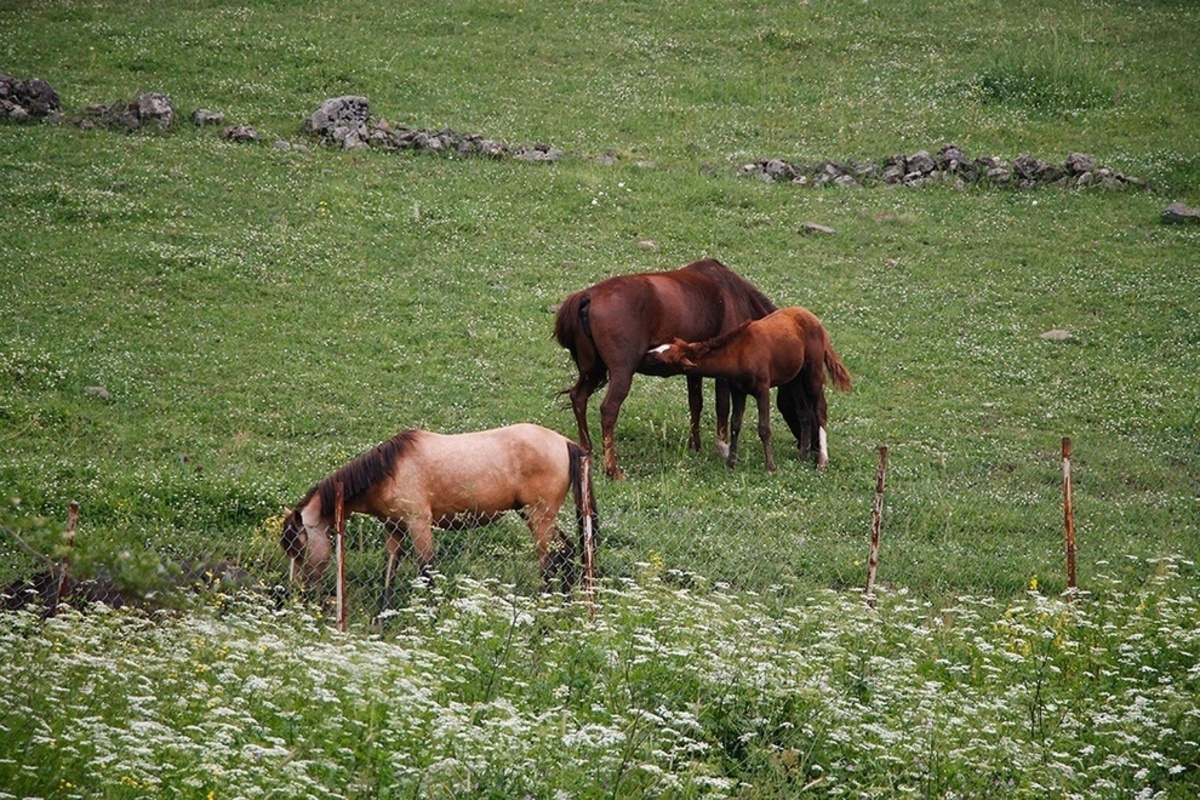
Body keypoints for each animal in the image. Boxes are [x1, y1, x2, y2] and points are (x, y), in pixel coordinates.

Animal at [280, 422, 600, 609]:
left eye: (299, 549)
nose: (298, 594)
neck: (389, 471)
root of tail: (566, 443)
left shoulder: (419, 525)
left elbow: (426, 572)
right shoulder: (394, 529)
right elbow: (388, 574)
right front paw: (381, 621)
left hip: (538, 517)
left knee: (550, 561)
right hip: (534, 515)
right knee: (566, 552)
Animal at [554, 260, 806, 479]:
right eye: (797, 401)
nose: (805, 445)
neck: (734, 294)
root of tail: (588, 296)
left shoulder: (694, 369)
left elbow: (696, 403)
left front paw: (696, 444)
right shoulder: (725, 372)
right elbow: (722, 407)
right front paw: (722, 448)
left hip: (592, 370)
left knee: (578, 397)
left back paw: (587, 451)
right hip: (621, 372)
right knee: (608, 409)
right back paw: (612, 469)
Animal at [648, 304, 854, 470]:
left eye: (661, 360)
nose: (645, 355)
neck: (740, 353)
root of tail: (816, 320)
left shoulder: (762, 390)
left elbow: (764, 428)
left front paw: (770, 466)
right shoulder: (739, 391)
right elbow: (735, 424)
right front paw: (730, 463)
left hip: (812, 373)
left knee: (820, 409)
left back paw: (822, 462)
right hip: (794, 379)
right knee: (804, 413)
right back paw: (802, 457)